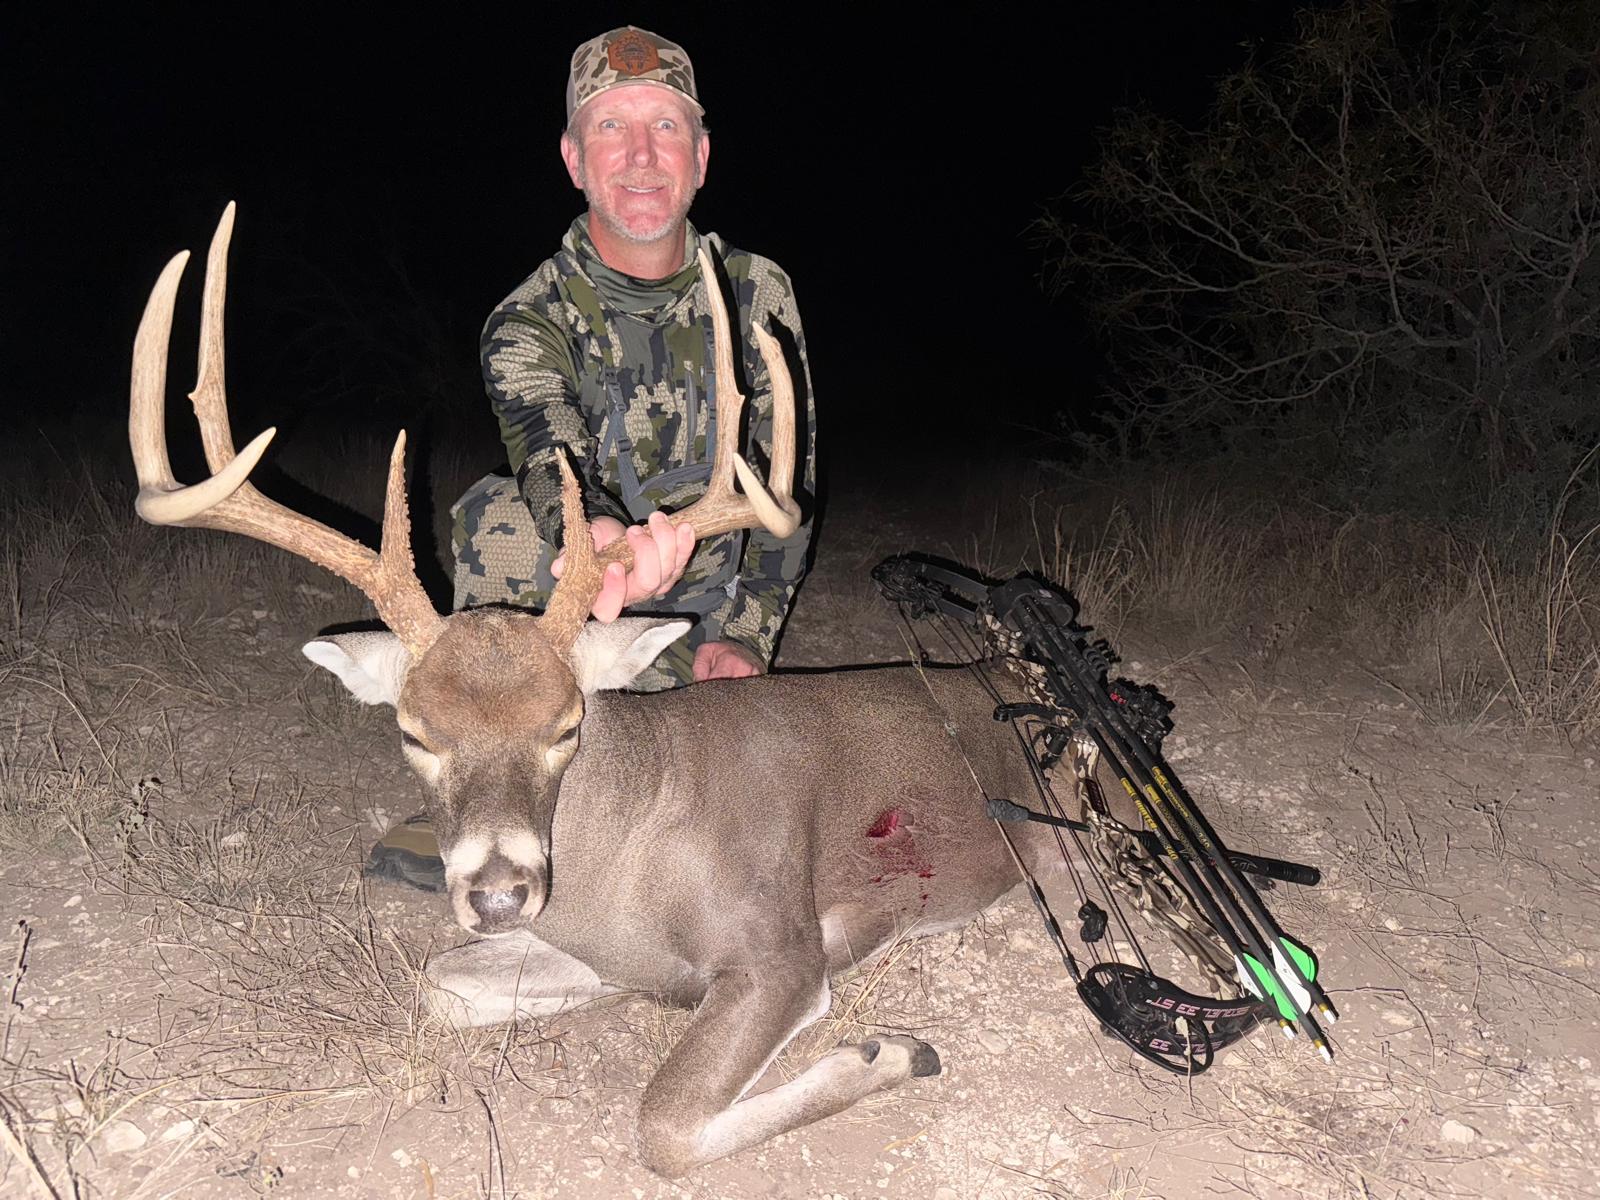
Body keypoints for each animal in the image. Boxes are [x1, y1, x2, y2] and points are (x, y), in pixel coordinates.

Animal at [129, 205, 1070, 1178]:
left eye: (567, 725)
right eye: (415, 733)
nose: (498, 894)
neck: (627, 856)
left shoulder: (780, 946)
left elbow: (664, 1124)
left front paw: (891, 1050)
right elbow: (444, 984)